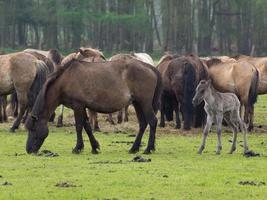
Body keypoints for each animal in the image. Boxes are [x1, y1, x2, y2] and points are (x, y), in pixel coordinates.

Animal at [25, 53, 163, 155]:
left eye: (33, 129)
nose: (28, 150)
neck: (65, 80)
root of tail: (150, 68)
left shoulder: (77, 106)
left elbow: (79, 126)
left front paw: (77, 148)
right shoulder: (82, 107)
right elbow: (87, 126)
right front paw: (94, 147)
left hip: (144, 103)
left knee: (152, 121)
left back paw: (148, 149)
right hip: (137, 103)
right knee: (143, 123)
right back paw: (134, 148)